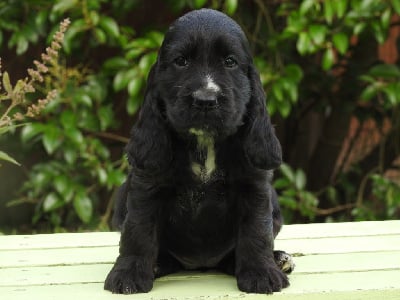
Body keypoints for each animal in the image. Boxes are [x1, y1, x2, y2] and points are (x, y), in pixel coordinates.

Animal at [105, 8, 294, 296]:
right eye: (181, 61)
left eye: (230, 62)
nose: (206, 100)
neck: (204, 141)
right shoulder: (146, 186)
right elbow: (137, 230)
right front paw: (128, 274)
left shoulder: (254, 187)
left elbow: (256, 232)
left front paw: (262, 273)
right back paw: (157, 264)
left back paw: (277, 259)